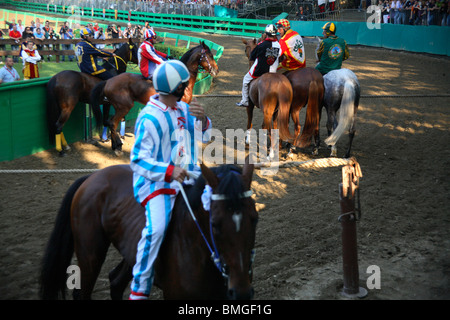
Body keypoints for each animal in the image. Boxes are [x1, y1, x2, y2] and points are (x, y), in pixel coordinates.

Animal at [39, 162, 256, 300]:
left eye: (255, 218)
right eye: (215, 224)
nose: (242, 292)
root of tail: (91, 176)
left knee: (116, 281)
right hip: (90, 256)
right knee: (82, 292)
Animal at [89, 42, 219, 155]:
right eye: (210, 55)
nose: (216, 70)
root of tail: (108, 81)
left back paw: (114, 145)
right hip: (124, 107)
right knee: (112, 123)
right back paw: (118, 147)